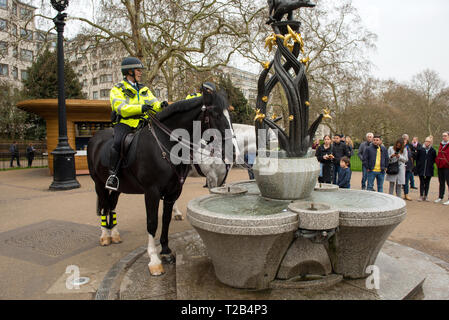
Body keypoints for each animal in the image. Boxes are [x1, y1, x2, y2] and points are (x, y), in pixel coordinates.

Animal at [87, 91, 231, 276]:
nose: (229, 146)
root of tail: (96, 138)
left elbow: (166, 219)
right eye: (216, 114)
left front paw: (166, 250)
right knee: (105, 205)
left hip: (118, 188)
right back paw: (105, 235)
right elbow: (152, 222)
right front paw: (154, 260)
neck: (166, 142)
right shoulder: (152, 192)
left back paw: (115, 234)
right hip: (99, 184)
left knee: (111, 205)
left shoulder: (173, 191)